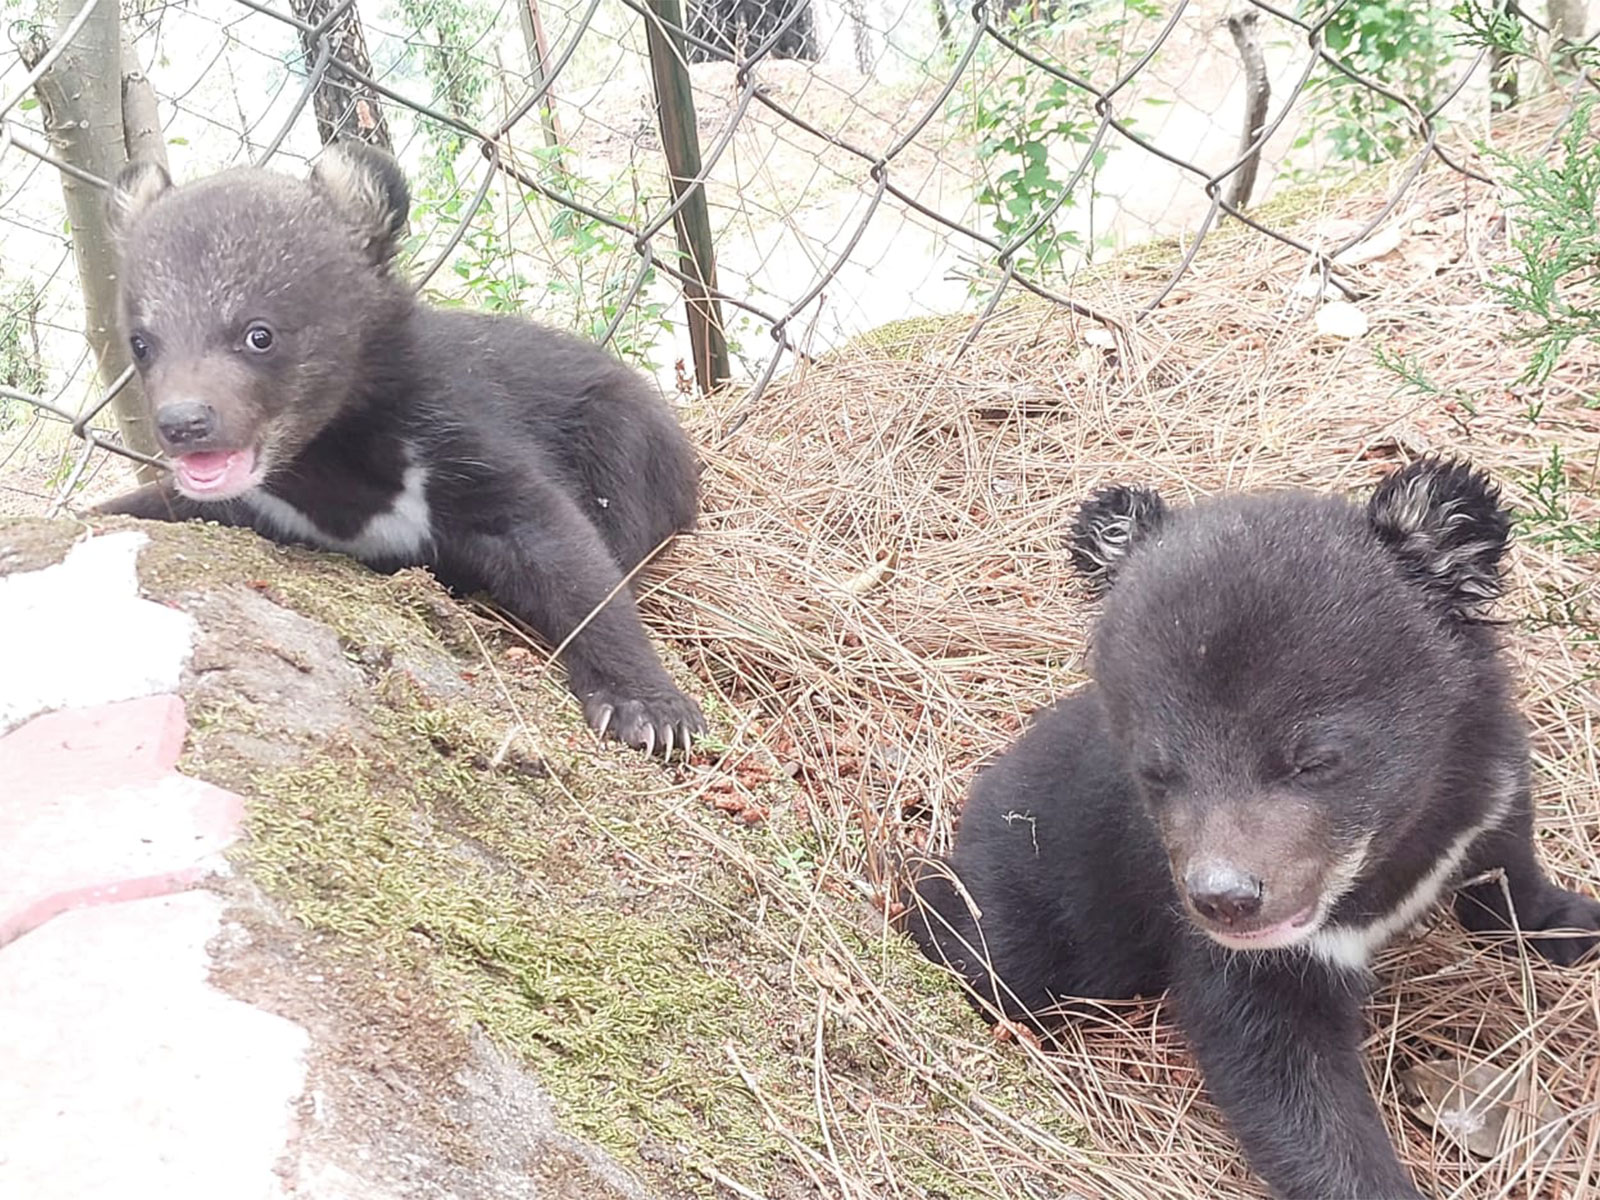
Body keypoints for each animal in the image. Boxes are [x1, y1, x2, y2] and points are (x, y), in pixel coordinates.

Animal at [94, 141, 704, 757]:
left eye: (258, 334)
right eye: (141, 344)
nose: (183, 423)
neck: (330, 464)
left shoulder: (459, 436)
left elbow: (563, 549)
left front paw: (649, 710)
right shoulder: (251, 502)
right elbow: (155, 503)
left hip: (625, 429)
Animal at [907, 457, 1600, 1200]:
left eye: (1315, 760)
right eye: (1156, 772)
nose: (1225, 899)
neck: (1385, 859)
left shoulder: (1486, 780)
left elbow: (1508, 862)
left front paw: (1571, 923)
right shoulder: (1250, 959)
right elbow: (1279, 1072)